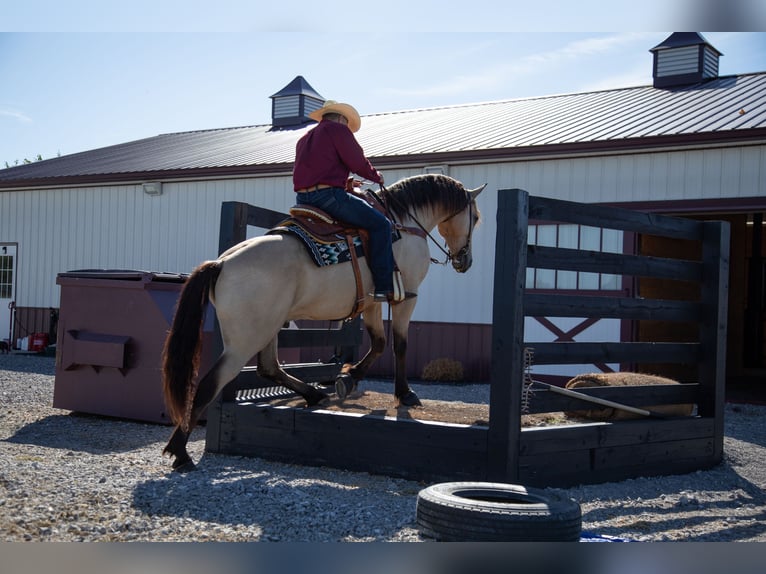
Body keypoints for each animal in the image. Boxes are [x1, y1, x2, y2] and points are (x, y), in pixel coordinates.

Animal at [161, 173, 486, 471]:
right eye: (476, 217)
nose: (465, 261)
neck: (402, 223)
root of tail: (222, 264)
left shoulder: (372, 301)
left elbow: (379, 343)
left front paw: (348, 378)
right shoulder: (405, 298)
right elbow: (399, 346)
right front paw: (405, 394)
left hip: (268, 327)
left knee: (269, 368)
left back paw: (314, 393)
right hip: (245, 340)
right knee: (211, 383)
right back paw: (180, 451)